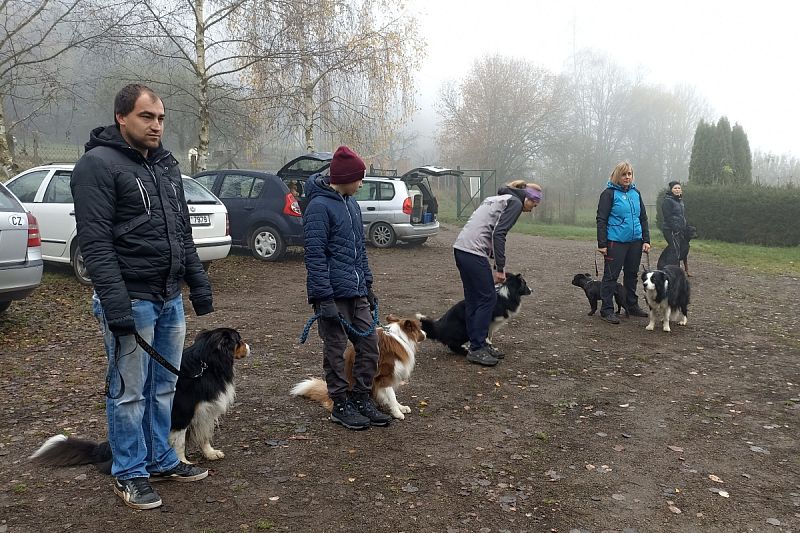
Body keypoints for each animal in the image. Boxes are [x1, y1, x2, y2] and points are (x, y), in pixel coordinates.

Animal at [30, 326, 250, 468]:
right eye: (238, 340)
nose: (250, 346)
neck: (206, 365)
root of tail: (105, 450)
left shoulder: (205, 411)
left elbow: (204, 435)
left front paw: (210, 453)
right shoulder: (183, 414)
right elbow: (179, 442)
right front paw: (183, 462)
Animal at [288, 312, 424, 420]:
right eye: (418, 329)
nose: (425, 333)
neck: (399, 337)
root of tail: (327, 395)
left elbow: (390, 396)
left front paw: (400, 407)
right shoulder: (385, 376)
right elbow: (391, 396)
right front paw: (397, 412)